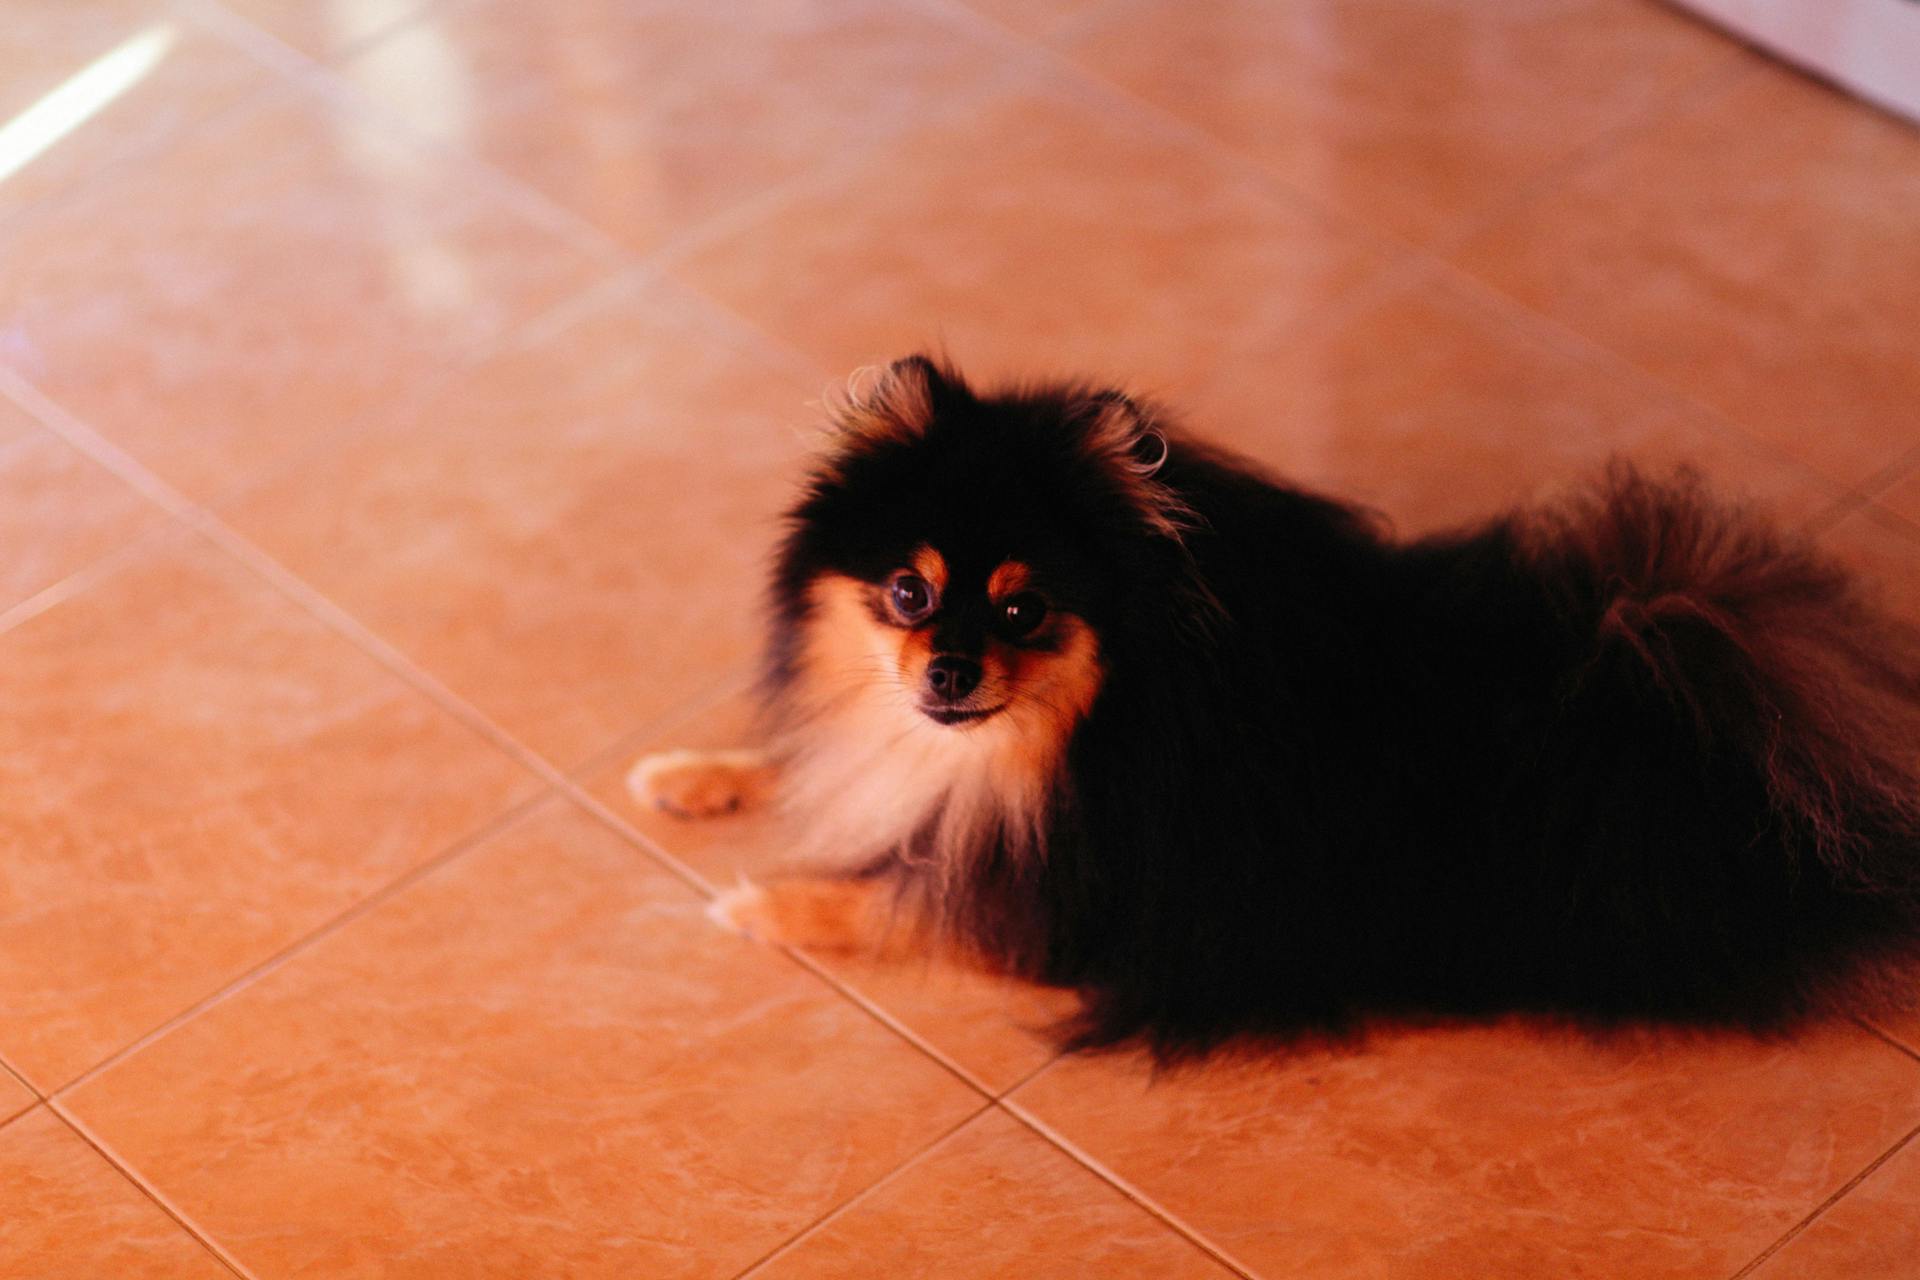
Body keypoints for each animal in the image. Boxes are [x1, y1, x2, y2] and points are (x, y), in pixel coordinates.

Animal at [629, 353, 1920, 1059]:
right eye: (909, 591)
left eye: (1022, 610)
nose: (946, 673)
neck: (1063, 736)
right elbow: (810, 756)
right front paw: (693, 774)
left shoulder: (1057, 897)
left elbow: (896, 896)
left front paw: (763, 902)